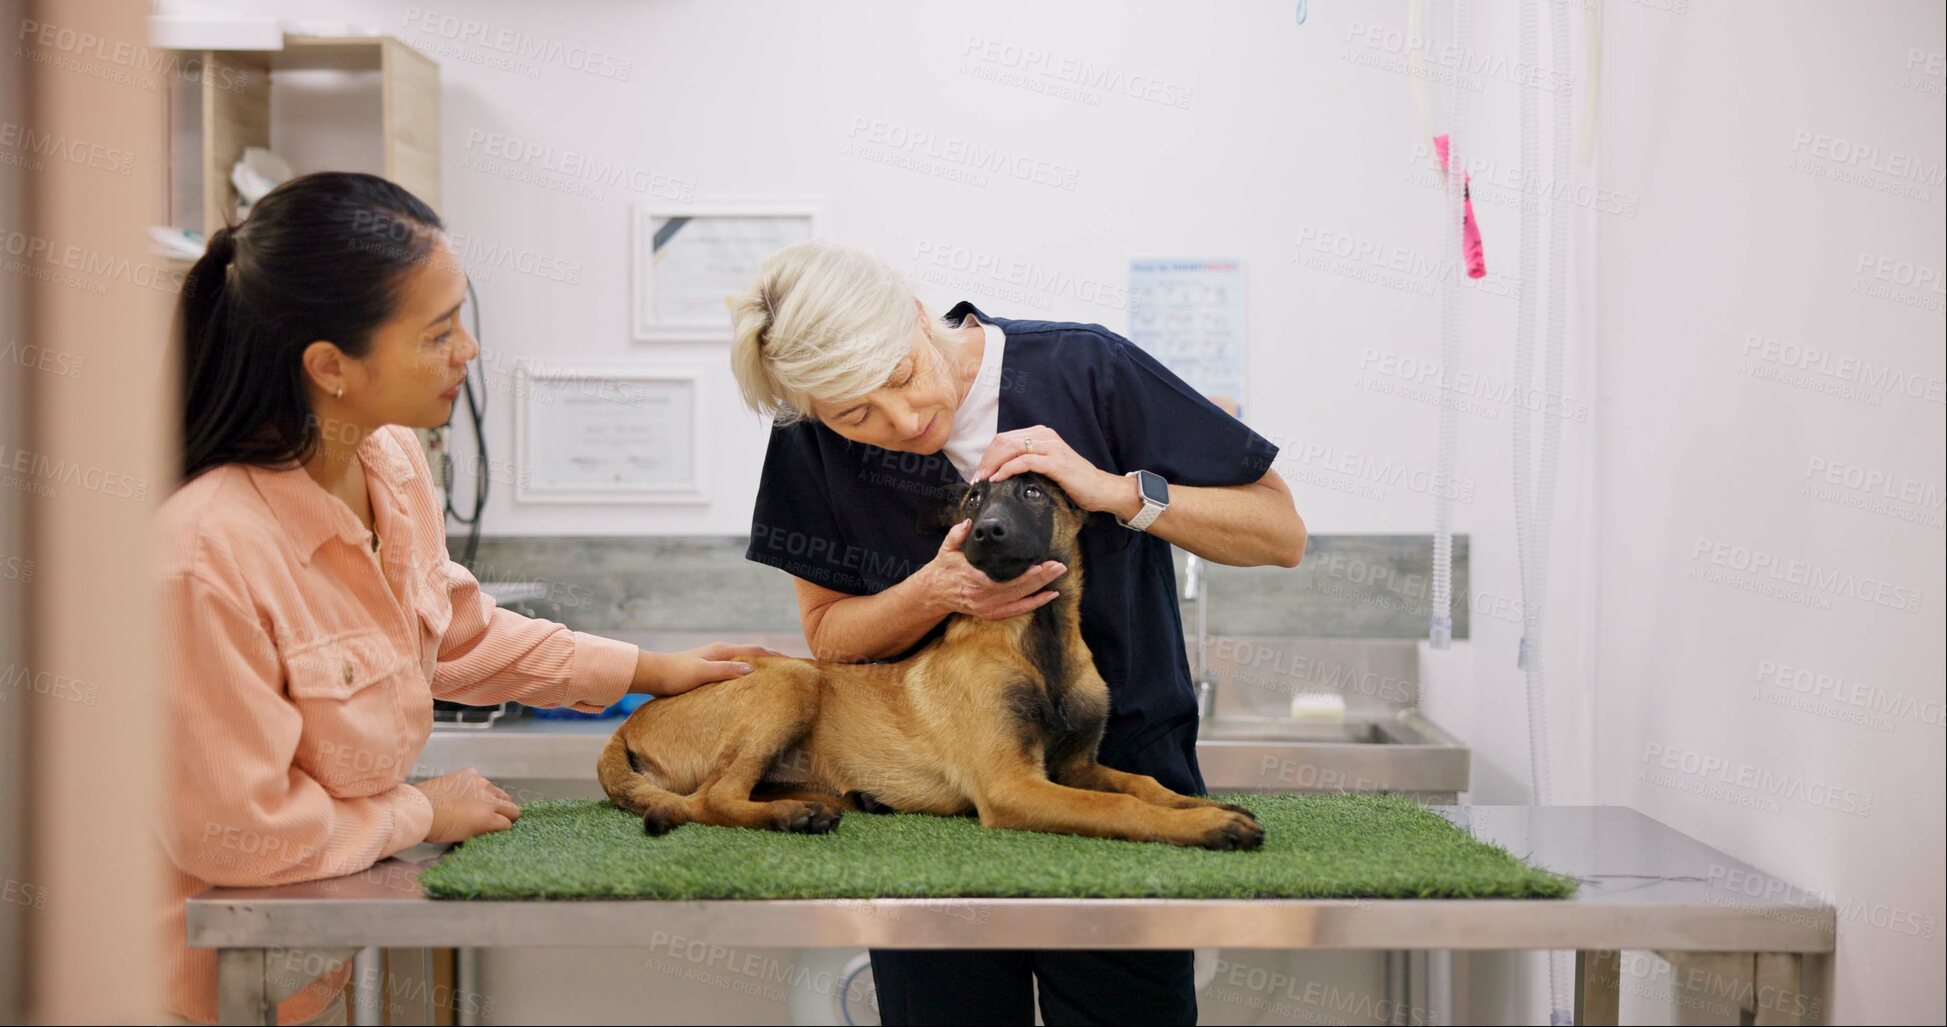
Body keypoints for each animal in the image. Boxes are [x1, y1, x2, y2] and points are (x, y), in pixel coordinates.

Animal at [595, 473, 1261, 853]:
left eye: (1032, 492)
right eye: (973, 498)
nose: (985, 532)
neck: (1037, 642)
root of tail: (627, 724)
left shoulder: (1077, 766)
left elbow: (1147, 785)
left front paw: (1208, 807)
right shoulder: (1011, 785)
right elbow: (1121, 806)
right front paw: (1209, 828)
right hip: (793, 677)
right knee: (713, 799)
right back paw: (795, 815)